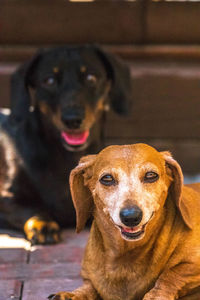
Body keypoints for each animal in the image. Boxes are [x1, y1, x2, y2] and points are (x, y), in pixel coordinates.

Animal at [0, 45, 131, 245]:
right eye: (49, 80)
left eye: (91, 78)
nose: (72, 120)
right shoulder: (7, 198)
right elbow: (32, 209)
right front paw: (43, 225)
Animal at [49, 144, 200, 298]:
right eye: (107, 178)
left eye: (151, 175)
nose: (131, 217)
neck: (125, 256)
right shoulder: (89, 278)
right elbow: (89, 287)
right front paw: (72, 295)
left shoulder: (191, 266)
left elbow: (171, 274)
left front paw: (156, 295)